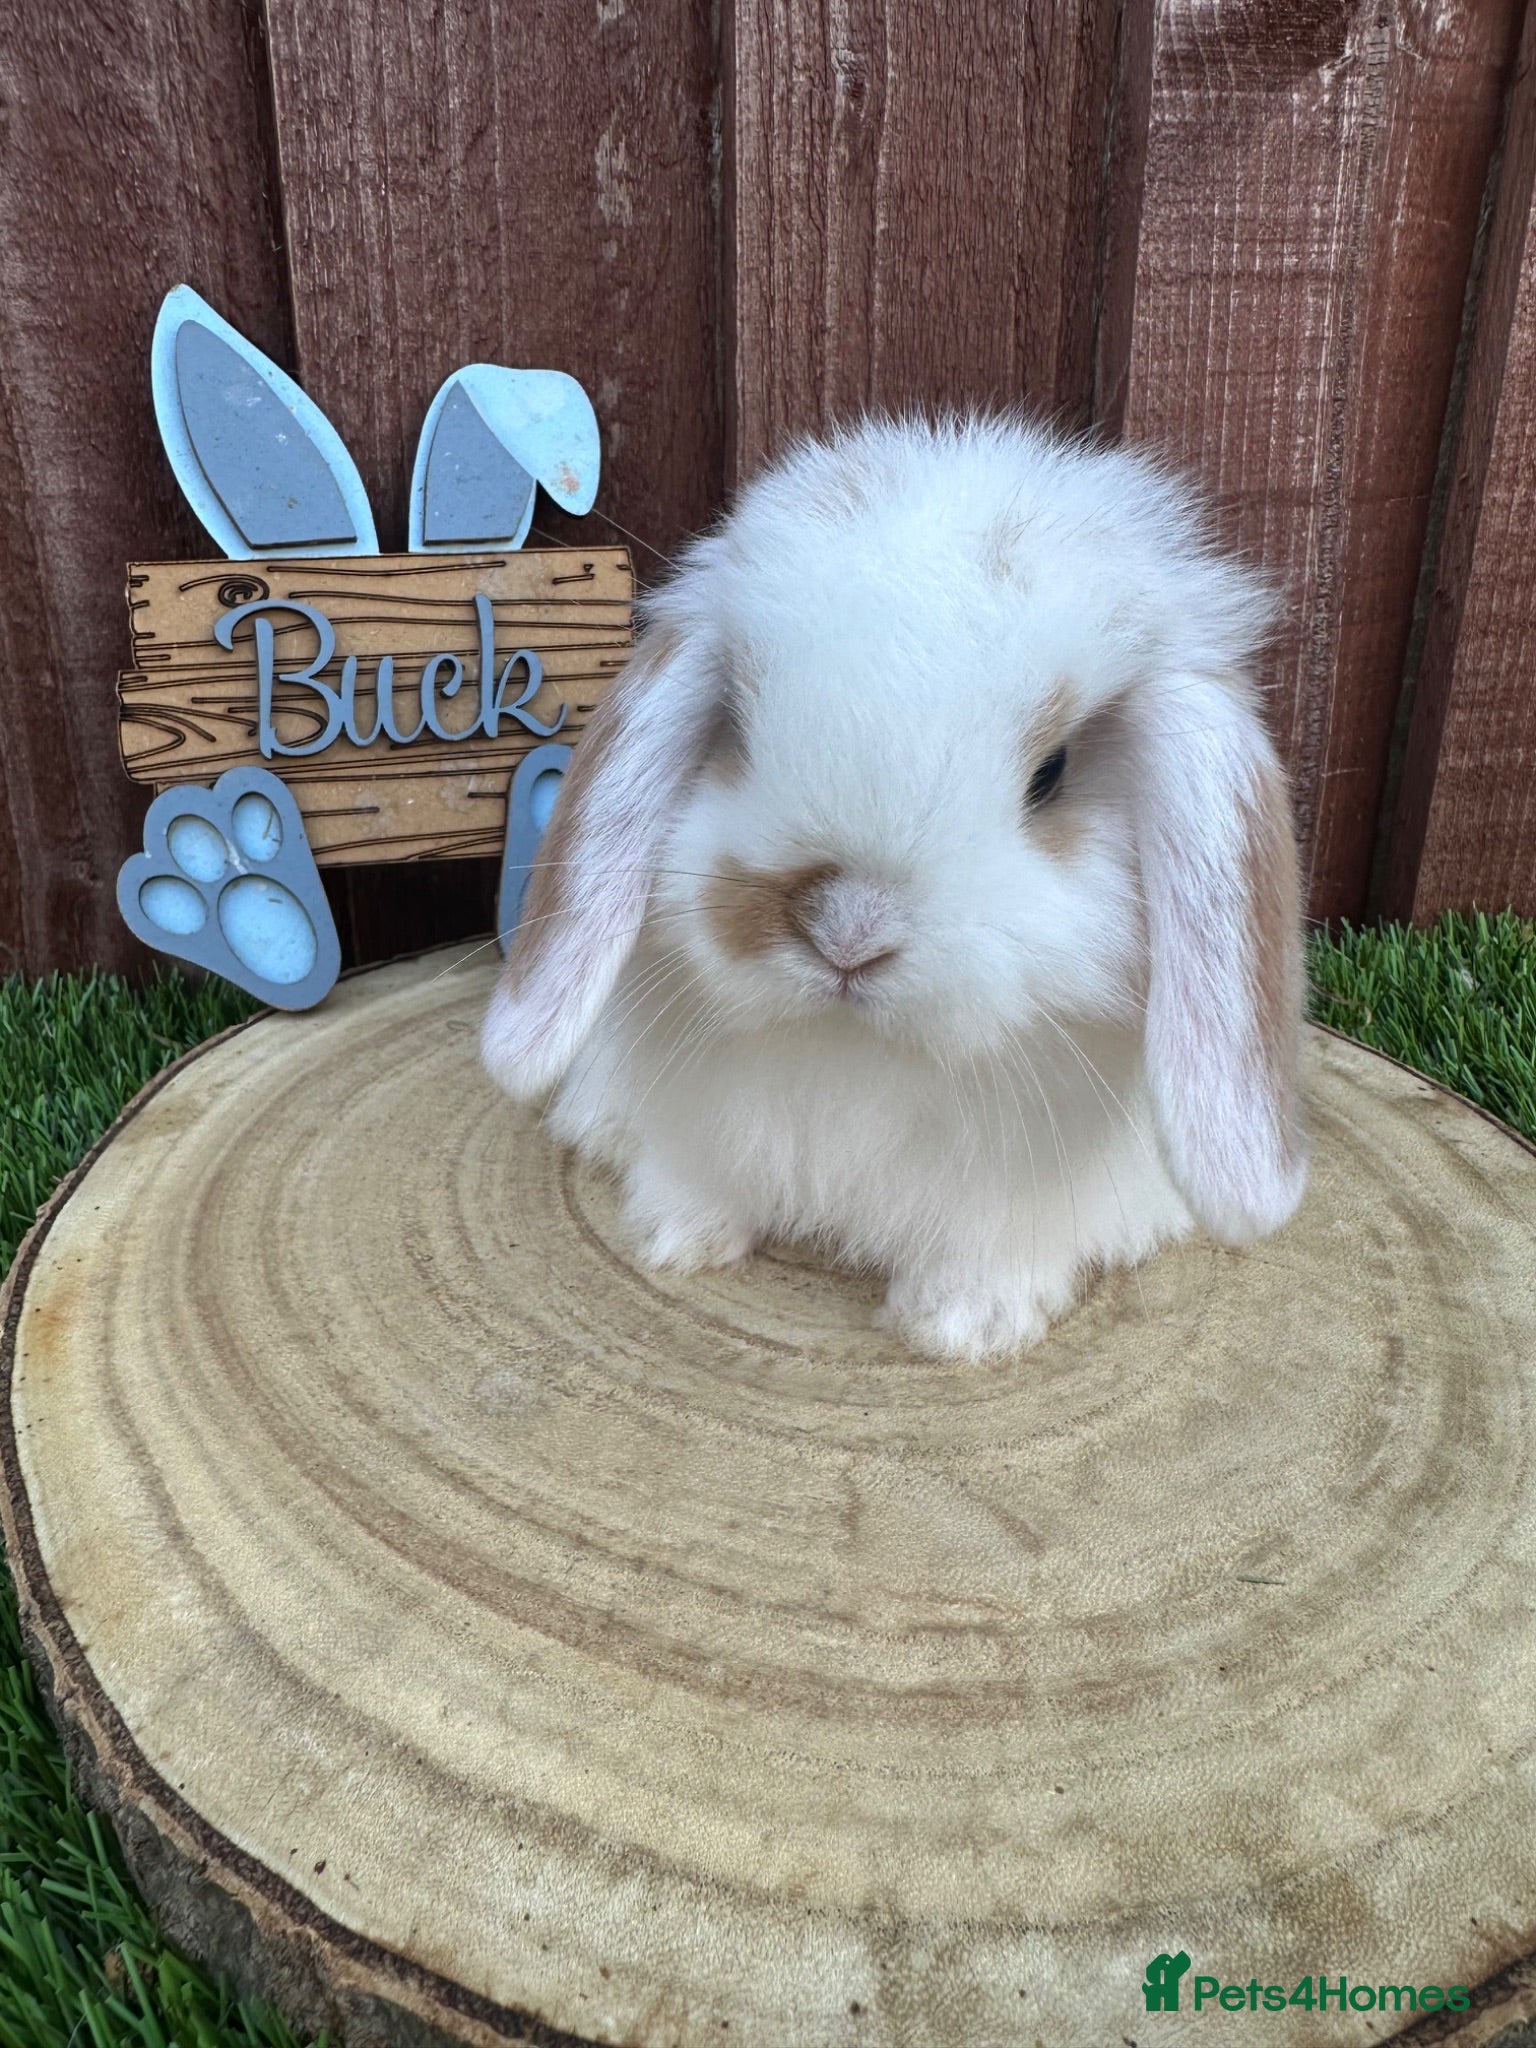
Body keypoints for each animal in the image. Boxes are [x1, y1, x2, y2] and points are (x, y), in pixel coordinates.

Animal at [480, 412, 1307, 1360]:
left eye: (1051, 774)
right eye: (741, 730)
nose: (845, 933)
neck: (857, 1056)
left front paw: (964, 1328)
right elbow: (702, 1181)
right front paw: (680, 1240)